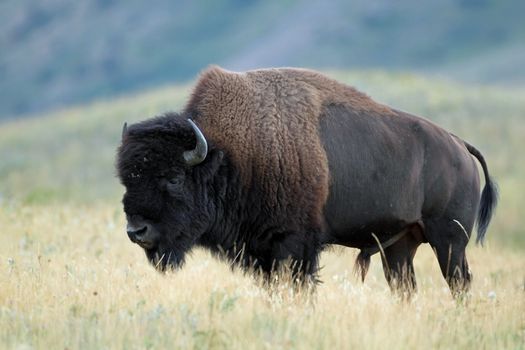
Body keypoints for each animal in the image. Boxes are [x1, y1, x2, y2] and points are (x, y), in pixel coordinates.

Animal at [116, 66, 498, 296]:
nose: (136, 231)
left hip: (448, 240)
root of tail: (459, 145)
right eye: (126, 179)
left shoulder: (295, 244)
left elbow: (299, 285)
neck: (230, 154)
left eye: (174, 178)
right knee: (405, 286)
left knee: (459, 282)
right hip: (400, 246)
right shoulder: (263, 251)